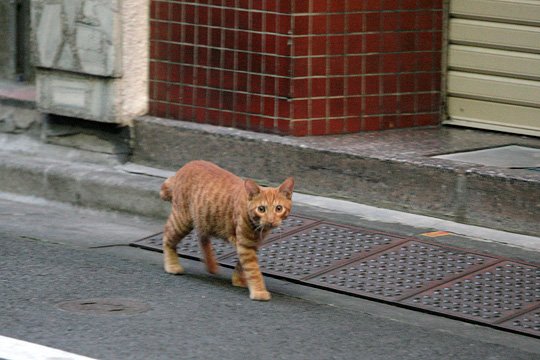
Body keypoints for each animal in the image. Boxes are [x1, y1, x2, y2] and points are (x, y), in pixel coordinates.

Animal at [160, 160, 296, 300]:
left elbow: (241, 265)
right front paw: (259, 291)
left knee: (202, 237)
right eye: (261, 209)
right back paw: (172, 265)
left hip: (203, 219)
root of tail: (186, 166)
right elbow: (253, 270)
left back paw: (210, 265)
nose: (270, 220)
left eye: (278, 208)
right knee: (167, 236)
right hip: (182, 220)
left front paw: (238, 279)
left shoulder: (251, 244)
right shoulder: (245, 245)